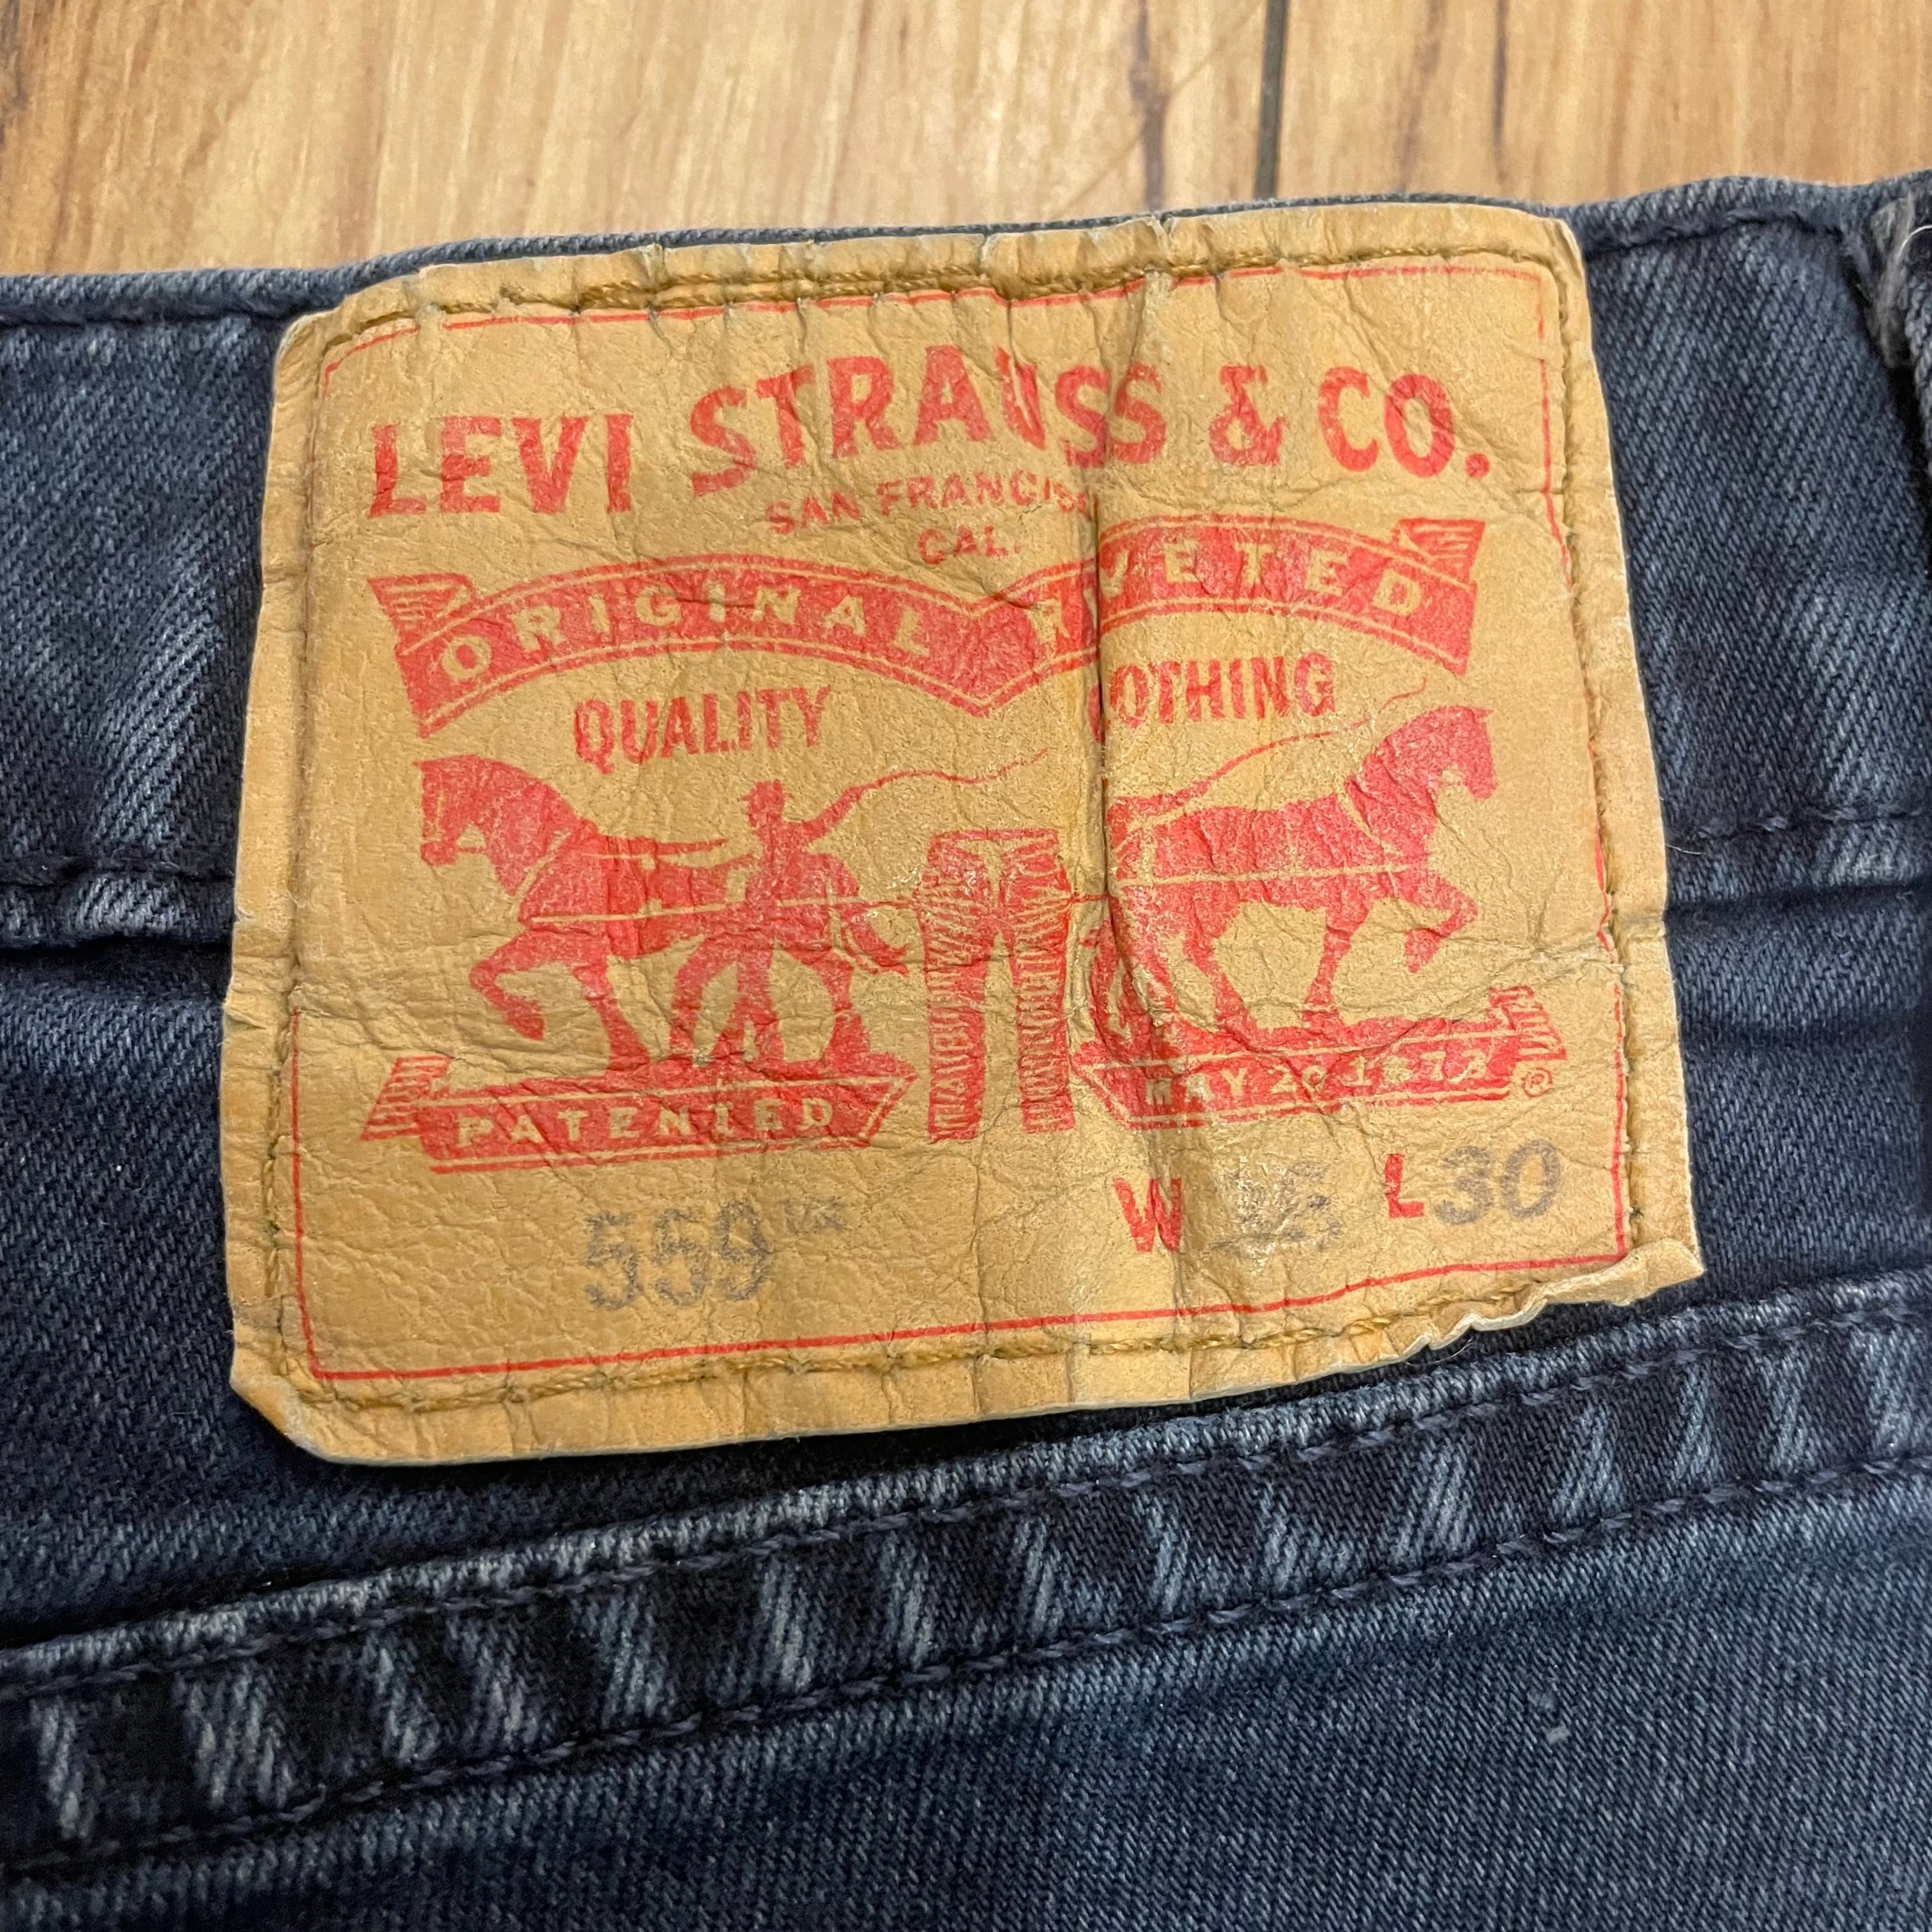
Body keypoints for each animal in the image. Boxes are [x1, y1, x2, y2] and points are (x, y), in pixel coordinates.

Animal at [418, 755, 750, 1072]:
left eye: (442, 797)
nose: (432, 854)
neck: (554, 855)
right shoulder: (576, 952)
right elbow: (599, 997)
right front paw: (626, 1054)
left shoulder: (562, 940)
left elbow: (484, 972)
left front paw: (529, 1023)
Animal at [1097, 705, 1495, 1046]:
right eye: (1474, 742)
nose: (1487, 790)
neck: (1378, 811)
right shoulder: (1390, 888)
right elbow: (1460, 907)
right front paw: (1416, 954)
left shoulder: (1366, 899)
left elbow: (1338, 947)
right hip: (1208, 906)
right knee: (1182, 950)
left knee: (1179, 950)